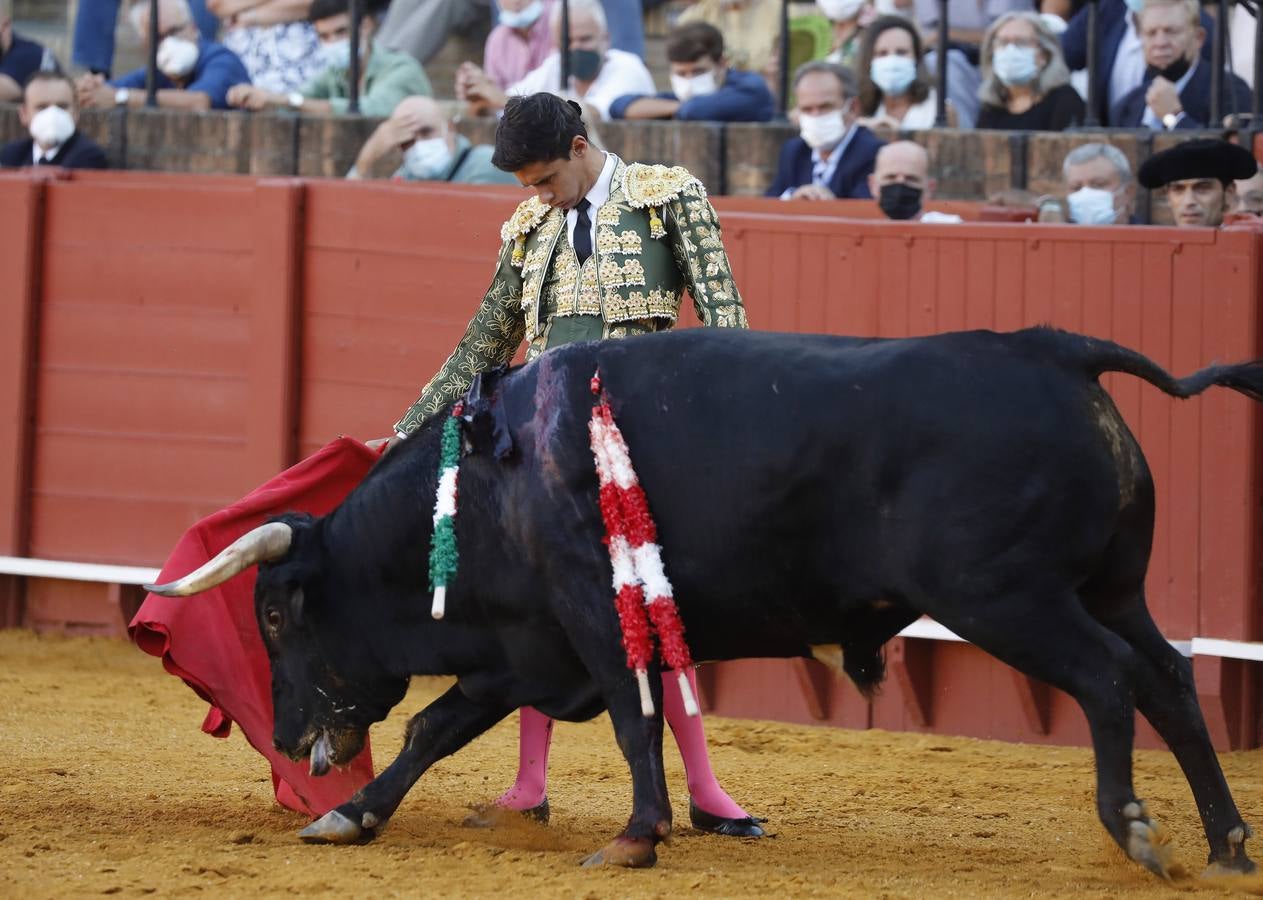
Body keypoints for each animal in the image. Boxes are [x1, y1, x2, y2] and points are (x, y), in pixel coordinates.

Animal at [147, 325, 1263, 873]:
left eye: (276, 616)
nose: (287, 739)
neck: (485, 483)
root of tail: (1056, 349)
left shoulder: (592, 622)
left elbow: (633, 720)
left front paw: (636, 836)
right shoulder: (523, 646)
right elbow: (435, 728)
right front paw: (352, 817)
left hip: (1008, 598)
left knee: (1108, 684)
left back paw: (1136, 830)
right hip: (1111, 588)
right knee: (1169, 680)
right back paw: (1222, 841)